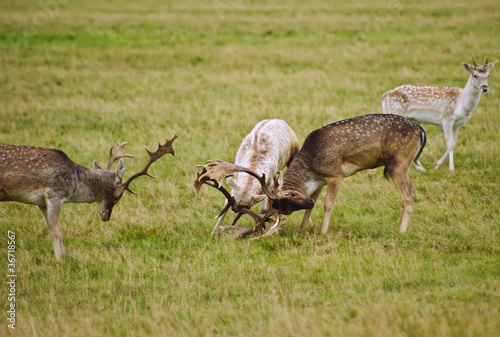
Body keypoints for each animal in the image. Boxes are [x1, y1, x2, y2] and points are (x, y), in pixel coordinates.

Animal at [0, 135, 179, 262]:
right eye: (120, 195)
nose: (106, 217)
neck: (74, 182)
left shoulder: (41, 202)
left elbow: (53, 229)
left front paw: (65, 256)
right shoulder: (54, 194)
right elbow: (57, 231)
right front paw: (59, 261)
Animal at [195, 114, 426, 238]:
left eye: (289, 195)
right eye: (286, 208)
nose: (308, 202)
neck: (312, 167)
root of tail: (421, 131)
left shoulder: (336, 174)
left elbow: (328, 204)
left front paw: (323, 231)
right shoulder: (320, 182)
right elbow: (313, 205)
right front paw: (302, 228)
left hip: (399, 164)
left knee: (409, 194)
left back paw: (401, 230)